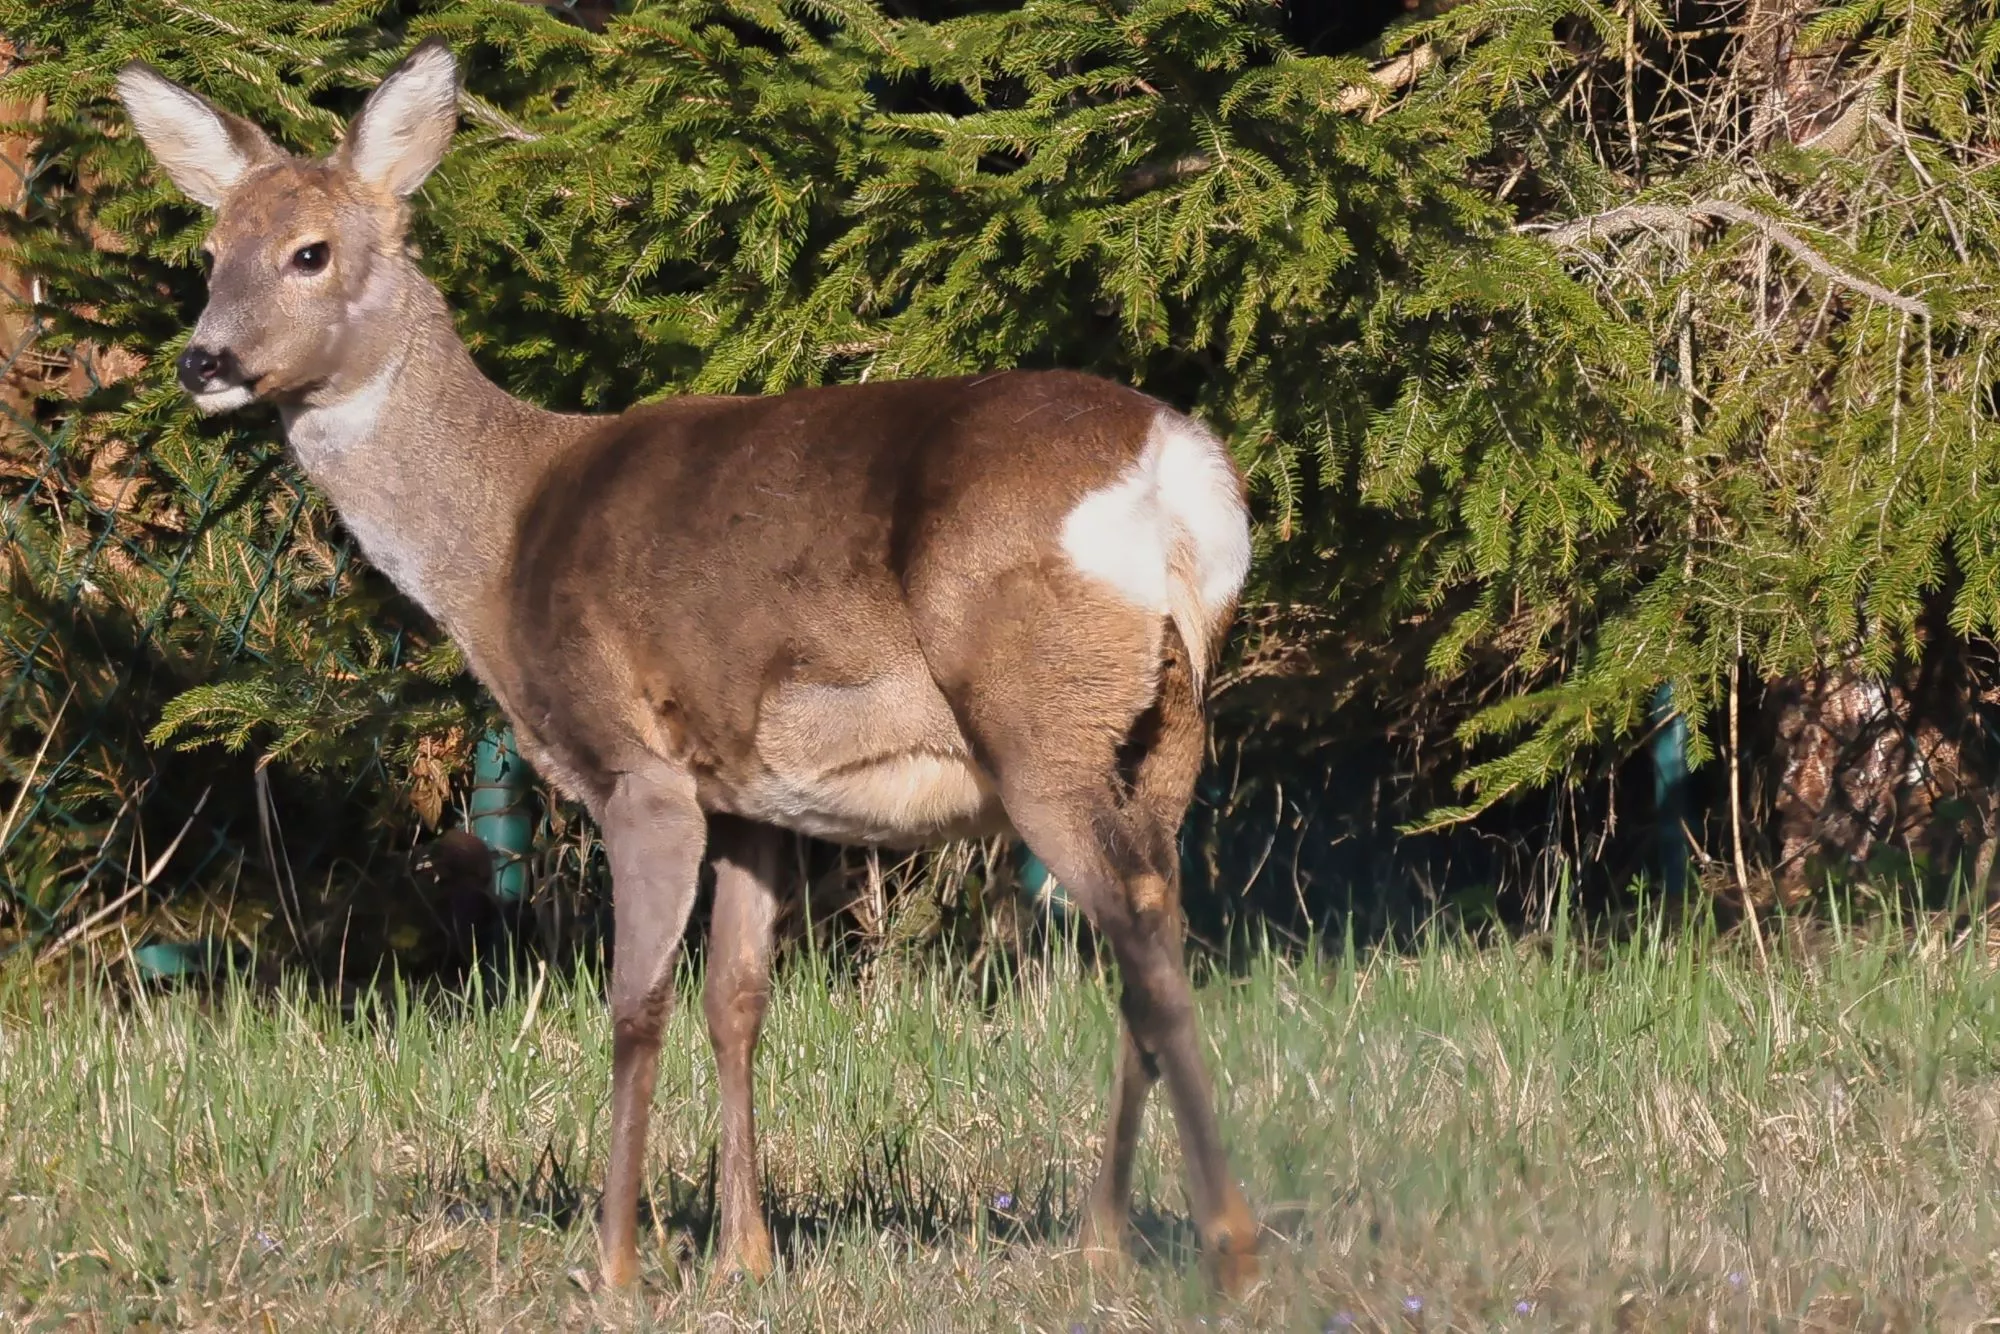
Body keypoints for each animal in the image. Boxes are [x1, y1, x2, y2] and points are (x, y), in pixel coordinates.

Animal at [116, 38, 1261, 1295]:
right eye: (210, 252)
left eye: (310, 251)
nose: (203, 360)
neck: (502, 538)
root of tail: (1173, 473)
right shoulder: (753, 789)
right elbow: (736, 998)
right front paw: (743, 1253)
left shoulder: (637, 762)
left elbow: (635, 1002)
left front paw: (613, 1261)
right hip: (1167, 725)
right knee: (1154, 922)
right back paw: (1106, 1236)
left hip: (1037, 716)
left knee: (1140, 926)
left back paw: (1223, 1243)